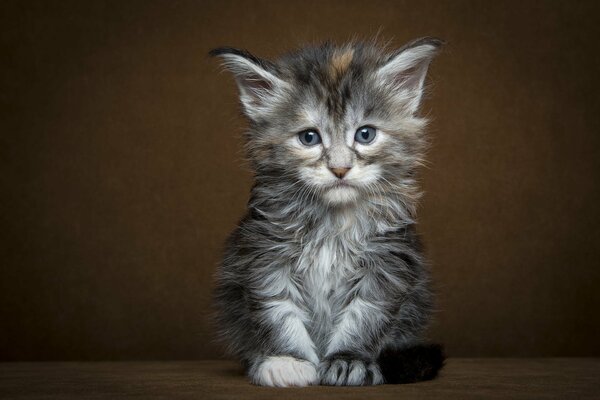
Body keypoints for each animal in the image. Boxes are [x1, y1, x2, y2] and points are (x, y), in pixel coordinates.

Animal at [209, 38, 442, 388]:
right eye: (309, 137)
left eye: (365, 134)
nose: (340, 168)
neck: (333, 221)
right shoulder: (265, 255)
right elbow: (279, 311)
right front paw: (287, 361)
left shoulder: (387, 263)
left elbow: (364, 315)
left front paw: (348, 360)